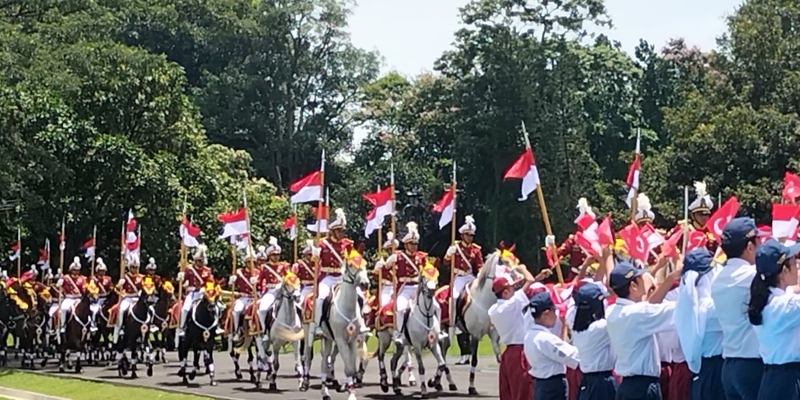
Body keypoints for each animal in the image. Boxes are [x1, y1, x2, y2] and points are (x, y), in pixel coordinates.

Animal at [438, 250, 520, 394]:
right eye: (505, 263)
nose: (520, 279)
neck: (485, 301)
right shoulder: (475, 335)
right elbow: (474, 360)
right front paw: (472, 387)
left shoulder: (494, 336)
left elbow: (499, 358)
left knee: (443, 351)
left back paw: (446, 382)